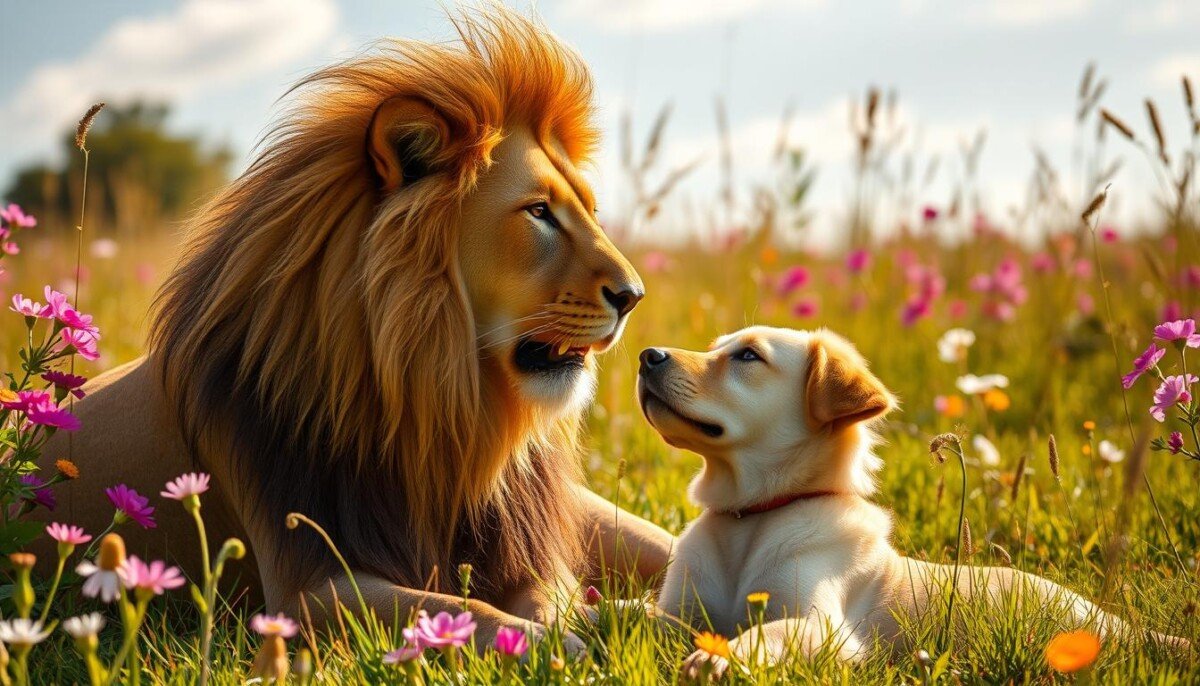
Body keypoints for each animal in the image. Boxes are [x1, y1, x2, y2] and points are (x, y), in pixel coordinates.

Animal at [34, 7, 673, 645]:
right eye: (539, 212)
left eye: (590, 210)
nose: (634, 296)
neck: (436, 413)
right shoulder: (304, 587)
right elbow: (463, 611)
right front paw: (566, 645)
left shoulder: (525, 547)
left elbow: (548, 599)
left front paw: (606, 626)